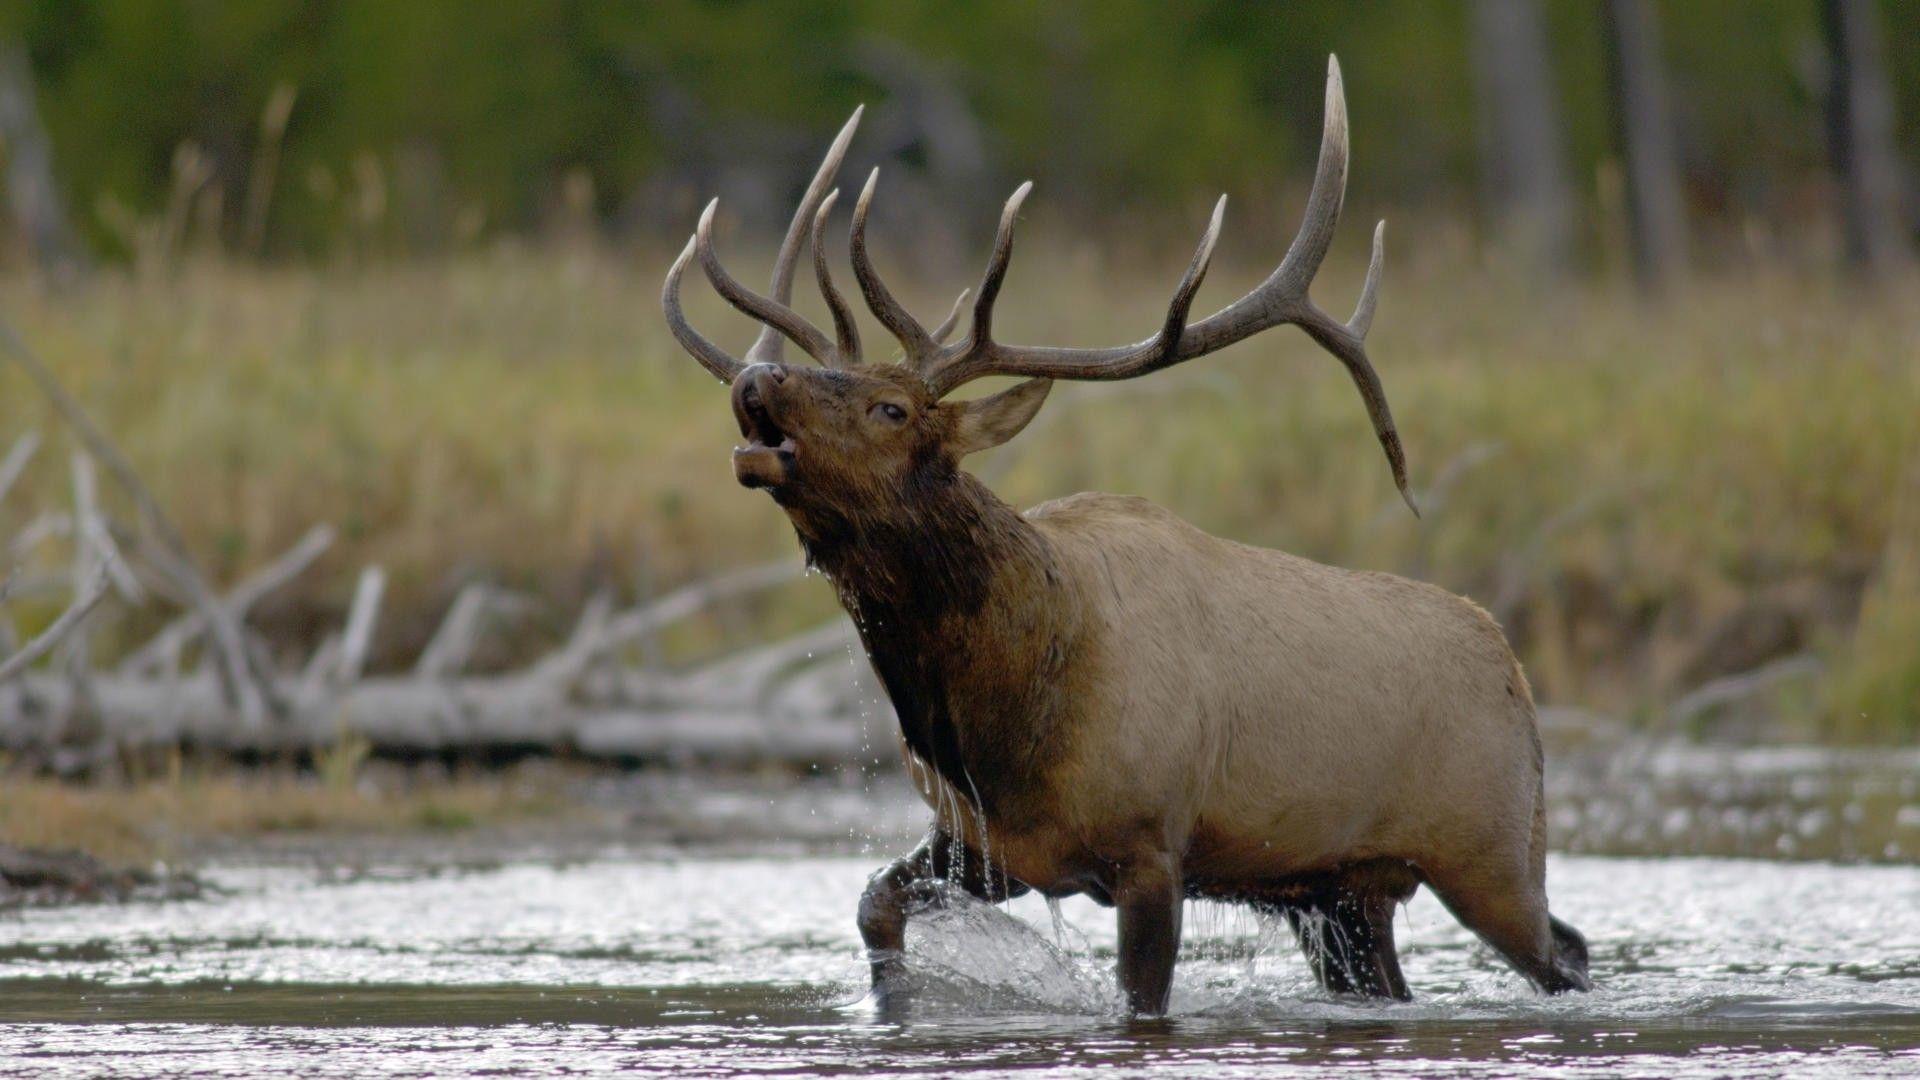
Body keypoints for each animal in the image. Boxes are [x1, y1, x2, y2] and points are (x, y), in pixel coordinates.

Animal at [661, 57, 1591, 1015]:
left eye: (893, 408)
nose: (757, 377)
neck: (998, 721)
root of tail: (1513, 662)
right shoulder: (990, 845)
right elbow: (873, 906)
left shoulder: (1152, 842)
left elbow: (1142, 1000)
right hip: (1338, 893)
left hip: (1493, 846)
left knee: (1569, 951)